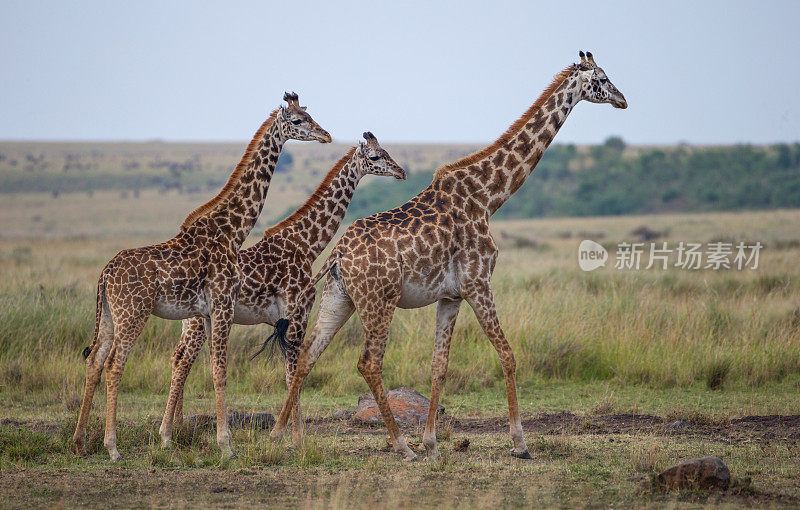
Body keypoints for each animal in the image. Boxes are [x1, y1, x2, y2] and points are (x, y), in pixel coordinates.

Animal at [70, 92, 330, 462]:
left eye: (309, 114)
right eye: (297, 121)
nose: (326, 135)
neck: (231, 232)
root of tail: (105, 274)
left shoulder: (208, 311)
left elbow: (211, 369)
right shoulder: (222, 304)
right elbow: (220, 372)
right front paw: (226, 446)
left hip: (108, 314)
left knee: (94, 360)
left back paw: (79, 442)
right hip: (133, 313)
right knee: (114, 364)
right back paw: (113, 447)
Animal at [268, 52, 624, 462]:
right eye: (602, 77)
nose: (622, 99)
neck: (489, 197)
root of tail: (339, 254)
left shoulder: (450, 296)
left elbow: (439, 365)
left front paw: (432, 442)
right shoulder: (478, 282)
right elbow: (507, 354)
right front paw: (519, 443)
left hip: (339, 297)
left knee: (307, 356)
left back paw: (279, 435)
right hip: (379, 300)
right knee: (368, 362)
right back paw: (401, 446)